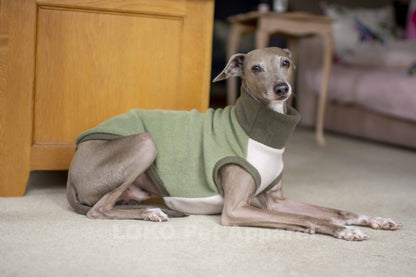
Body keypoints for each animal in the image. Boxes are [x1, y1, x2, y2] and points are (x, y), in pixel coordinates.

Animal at [66, 47, 402, 239]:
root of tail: (72, 165)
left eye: (285, 62)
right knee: (98, 210)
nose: (282, 88)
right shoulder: (236, 209)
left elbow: (335, 210)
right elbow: (306, 217)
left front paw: (373, 219)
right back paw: (149, 213)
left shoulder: (275, 200)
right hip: (146, 143)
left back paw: (148, 209)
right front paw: (344, 231)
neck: (258, 128)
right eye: (256, 68)